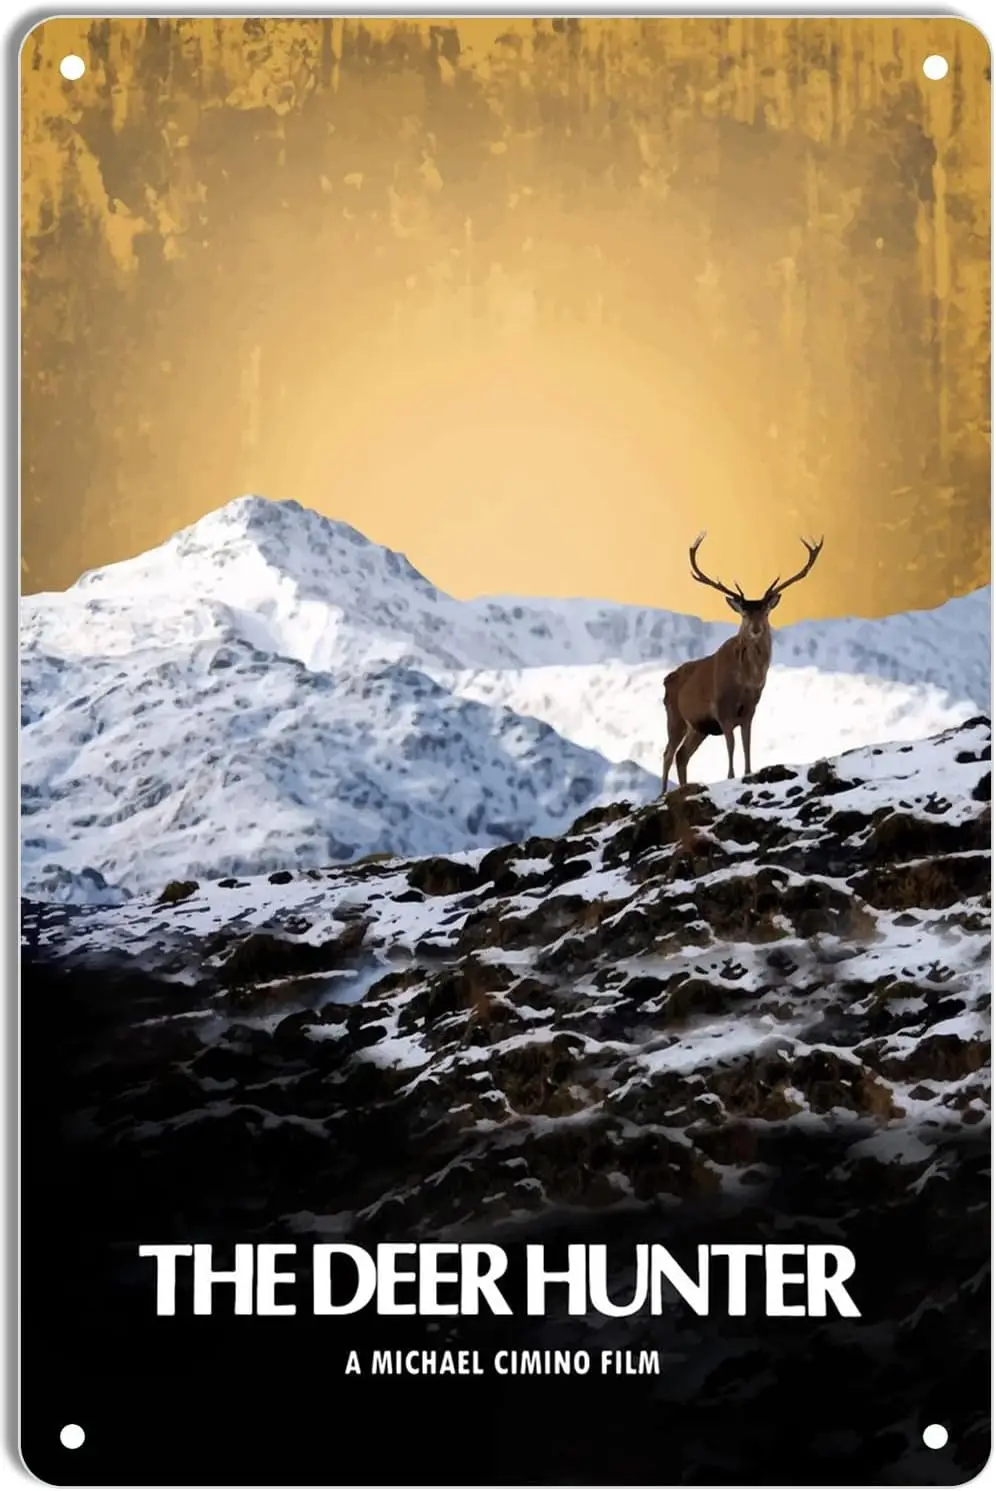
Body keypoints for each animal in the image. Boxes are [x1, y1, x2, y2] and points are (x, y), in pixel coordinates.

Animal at [660, 531, 824, 793]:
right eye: (744, 614)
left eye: (766, 611)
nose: (756, 629)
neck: (746, 682)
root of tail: (666, 680)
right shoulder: (722, 709)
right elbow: (731, 745)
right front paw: (730, 776)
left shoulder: (750, 710)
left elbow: (747, 745)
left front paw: (747, 772)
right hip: (674, 716)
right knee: (668, 753)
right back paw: (663, 792)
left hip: (698, 727)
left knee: (682, 756)